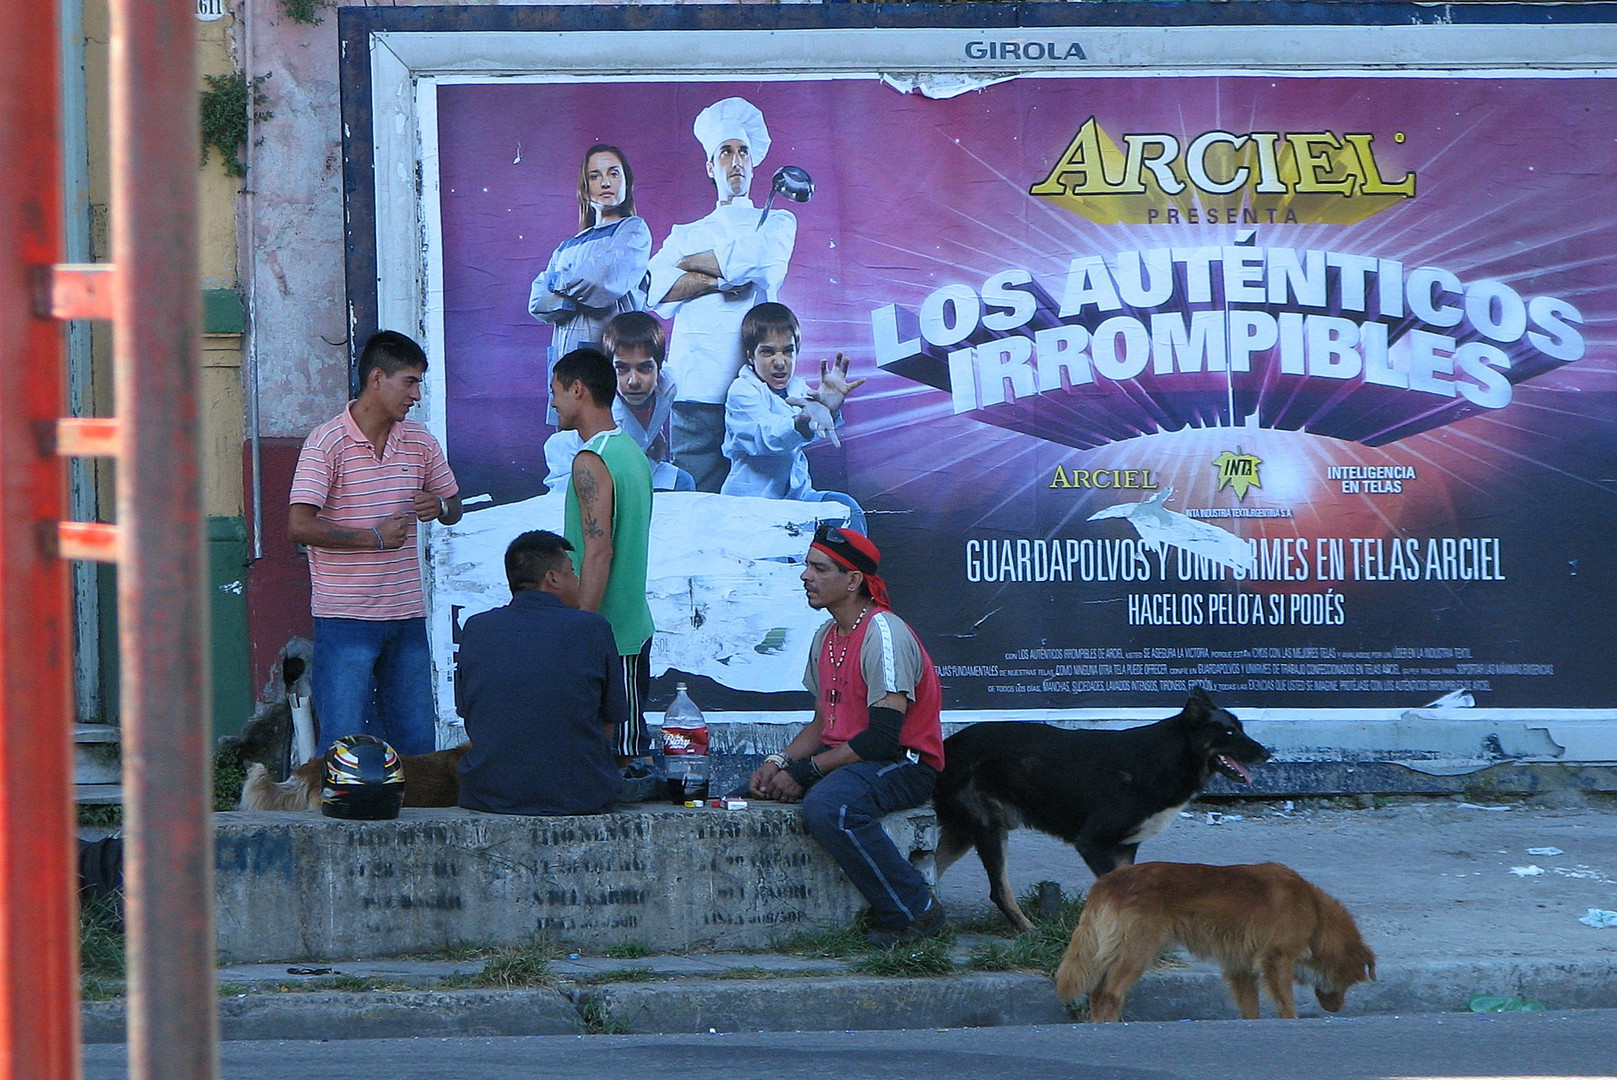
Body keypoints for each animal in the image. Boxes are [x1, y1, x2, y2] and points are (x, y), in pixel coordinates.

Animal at [1047, 860, 1377, 1021]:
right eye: (1348, 982)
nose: (1336, 1010)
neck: (1315, 913)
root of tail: (1107, 882)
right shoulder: (1278, 959)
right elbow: (1286, 1002)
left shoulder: (1240, 968)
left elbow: (1251, 1009)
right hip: (1137, 951)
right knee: (1111, 994)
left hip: (1112, 950)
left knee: (1096, 993)